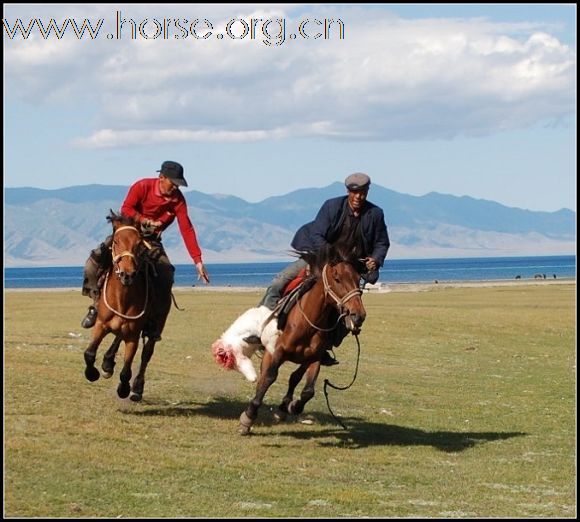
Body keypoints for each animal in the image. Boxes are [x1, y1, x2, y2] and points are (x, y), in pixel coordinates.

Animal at [82, 209, 159, 400]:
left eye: (139, 244)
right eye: (115, 241)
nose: (127, 274)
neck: (122, 299)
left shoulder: (133, 335)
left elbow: (126, 371)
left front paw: (123, 389)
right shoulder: (101, 325)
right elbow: (89, 353)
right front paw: (92, 373)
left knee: (145, 354)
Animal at [237, 245, 364, 434]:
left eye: (358, 279)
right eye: (337, 278)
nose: (358, 315)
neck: (306, 324)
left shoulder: (315, 358)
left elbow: (308, 390)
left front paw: (291, 406)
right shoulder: (275, 352)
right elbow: (268, 378)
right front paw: (248, 417)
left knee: (294, 377)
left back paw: (284, 407)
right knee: (269, 377)